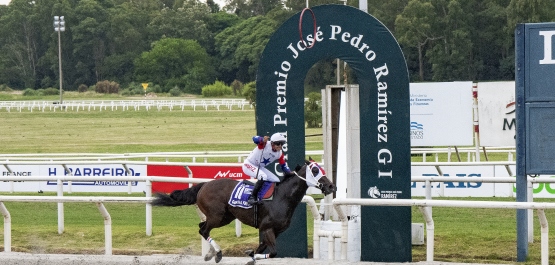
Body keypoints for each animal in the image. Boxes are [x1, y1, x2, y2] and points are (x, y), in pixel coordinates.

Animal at [152, 160, 334, 262]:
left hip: (225, 217)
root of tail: (204, 185)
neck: (282, 197)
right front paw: (250, 255)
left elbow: (260, 250)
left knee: (202, 227)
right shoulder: (267, 228)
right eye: (315, 170)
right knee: (204, 230)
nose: (332, 186)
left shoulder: (275, 231)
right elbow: (273, 252)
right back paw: (217, 253)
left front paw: (251, 255)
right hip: (217, 216)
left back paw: (210, 254)